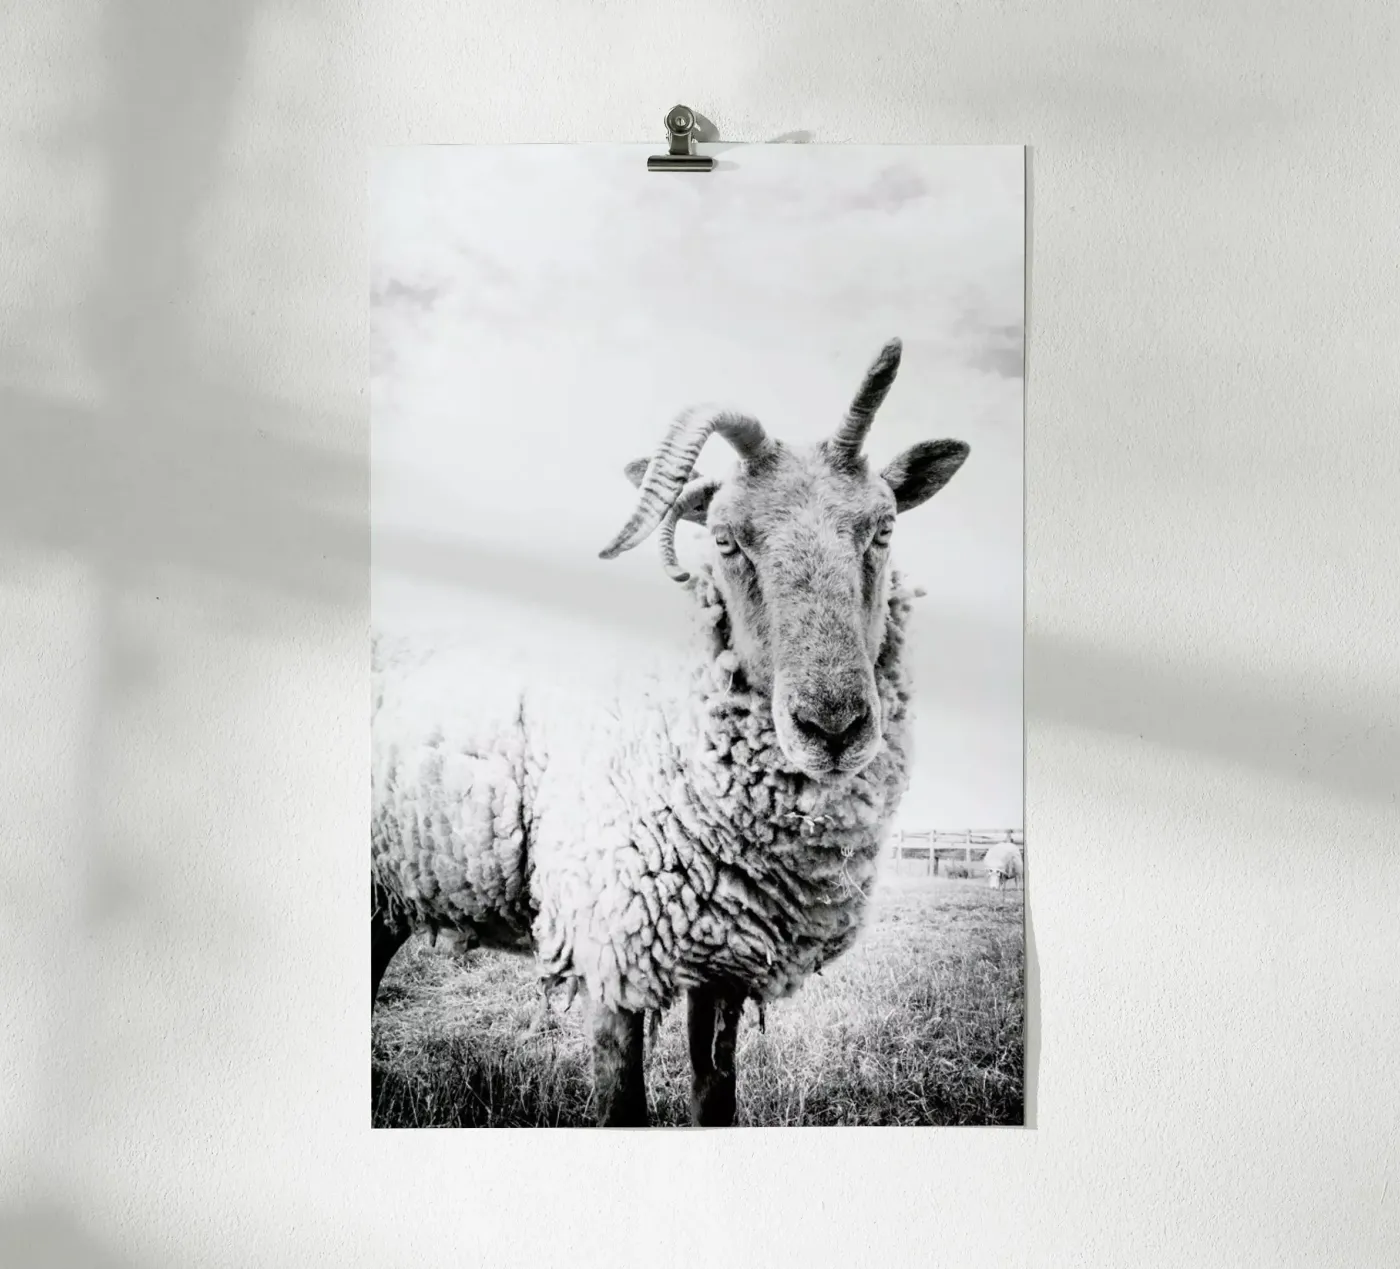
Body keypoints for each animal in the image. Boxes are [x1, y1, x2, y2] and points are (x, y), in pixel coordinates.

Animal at [370, 337, 971, 1126]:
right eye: (724, 538)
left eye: (885, 527)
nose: (833, 726)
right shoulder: (609, 942)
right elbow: (623, 1104)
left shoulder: (724, 956)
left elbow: (716, 1095)